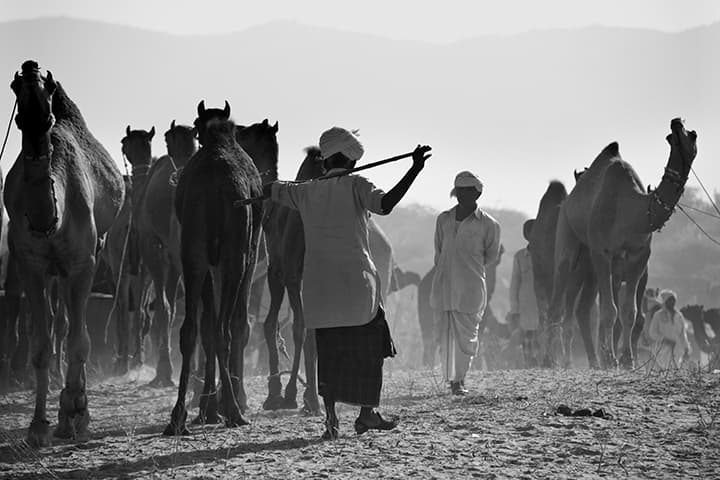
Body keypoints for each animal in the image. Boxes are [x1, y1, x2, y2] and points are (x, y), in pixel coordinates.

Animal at [5, 61, 125, 446]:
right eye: (15, 87)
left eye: (48, 88)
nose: (30, 67)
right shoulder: (30, 265)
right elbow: (41, 346)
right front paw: (38, 426)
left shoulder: (83, 262)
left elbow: (80, 340)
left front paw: (75, 414)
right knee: (62, 324)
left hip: (91, 253)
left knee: (75, 326)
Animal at [165, 101, 272, 434]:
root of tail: (215, 187)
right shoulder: (248, 254)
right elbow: (235, 324)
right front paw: (222, 404)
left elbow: (207, 328)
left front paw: (207, 407)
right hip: (235, 256)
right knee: (224, 327)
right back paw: (233, 410)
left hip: (193, 255)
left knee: (191, 330)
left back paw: (178, 416)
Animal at [546, 118, 697, 369]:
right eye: (677, 135)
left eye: (692, 135)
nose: (676, 123)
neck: (632, 209)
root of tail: (568, 200)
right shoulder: (602, 251)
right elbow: (609, 311)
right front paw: (611, 358)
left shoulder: (640, 255)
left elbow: (629, 312)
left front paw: (627, 359)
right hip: (567, 231)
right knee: (559, 293)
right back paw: (551, 360)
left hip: (592, 263)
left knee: (581, 307)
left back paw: (586, 360)